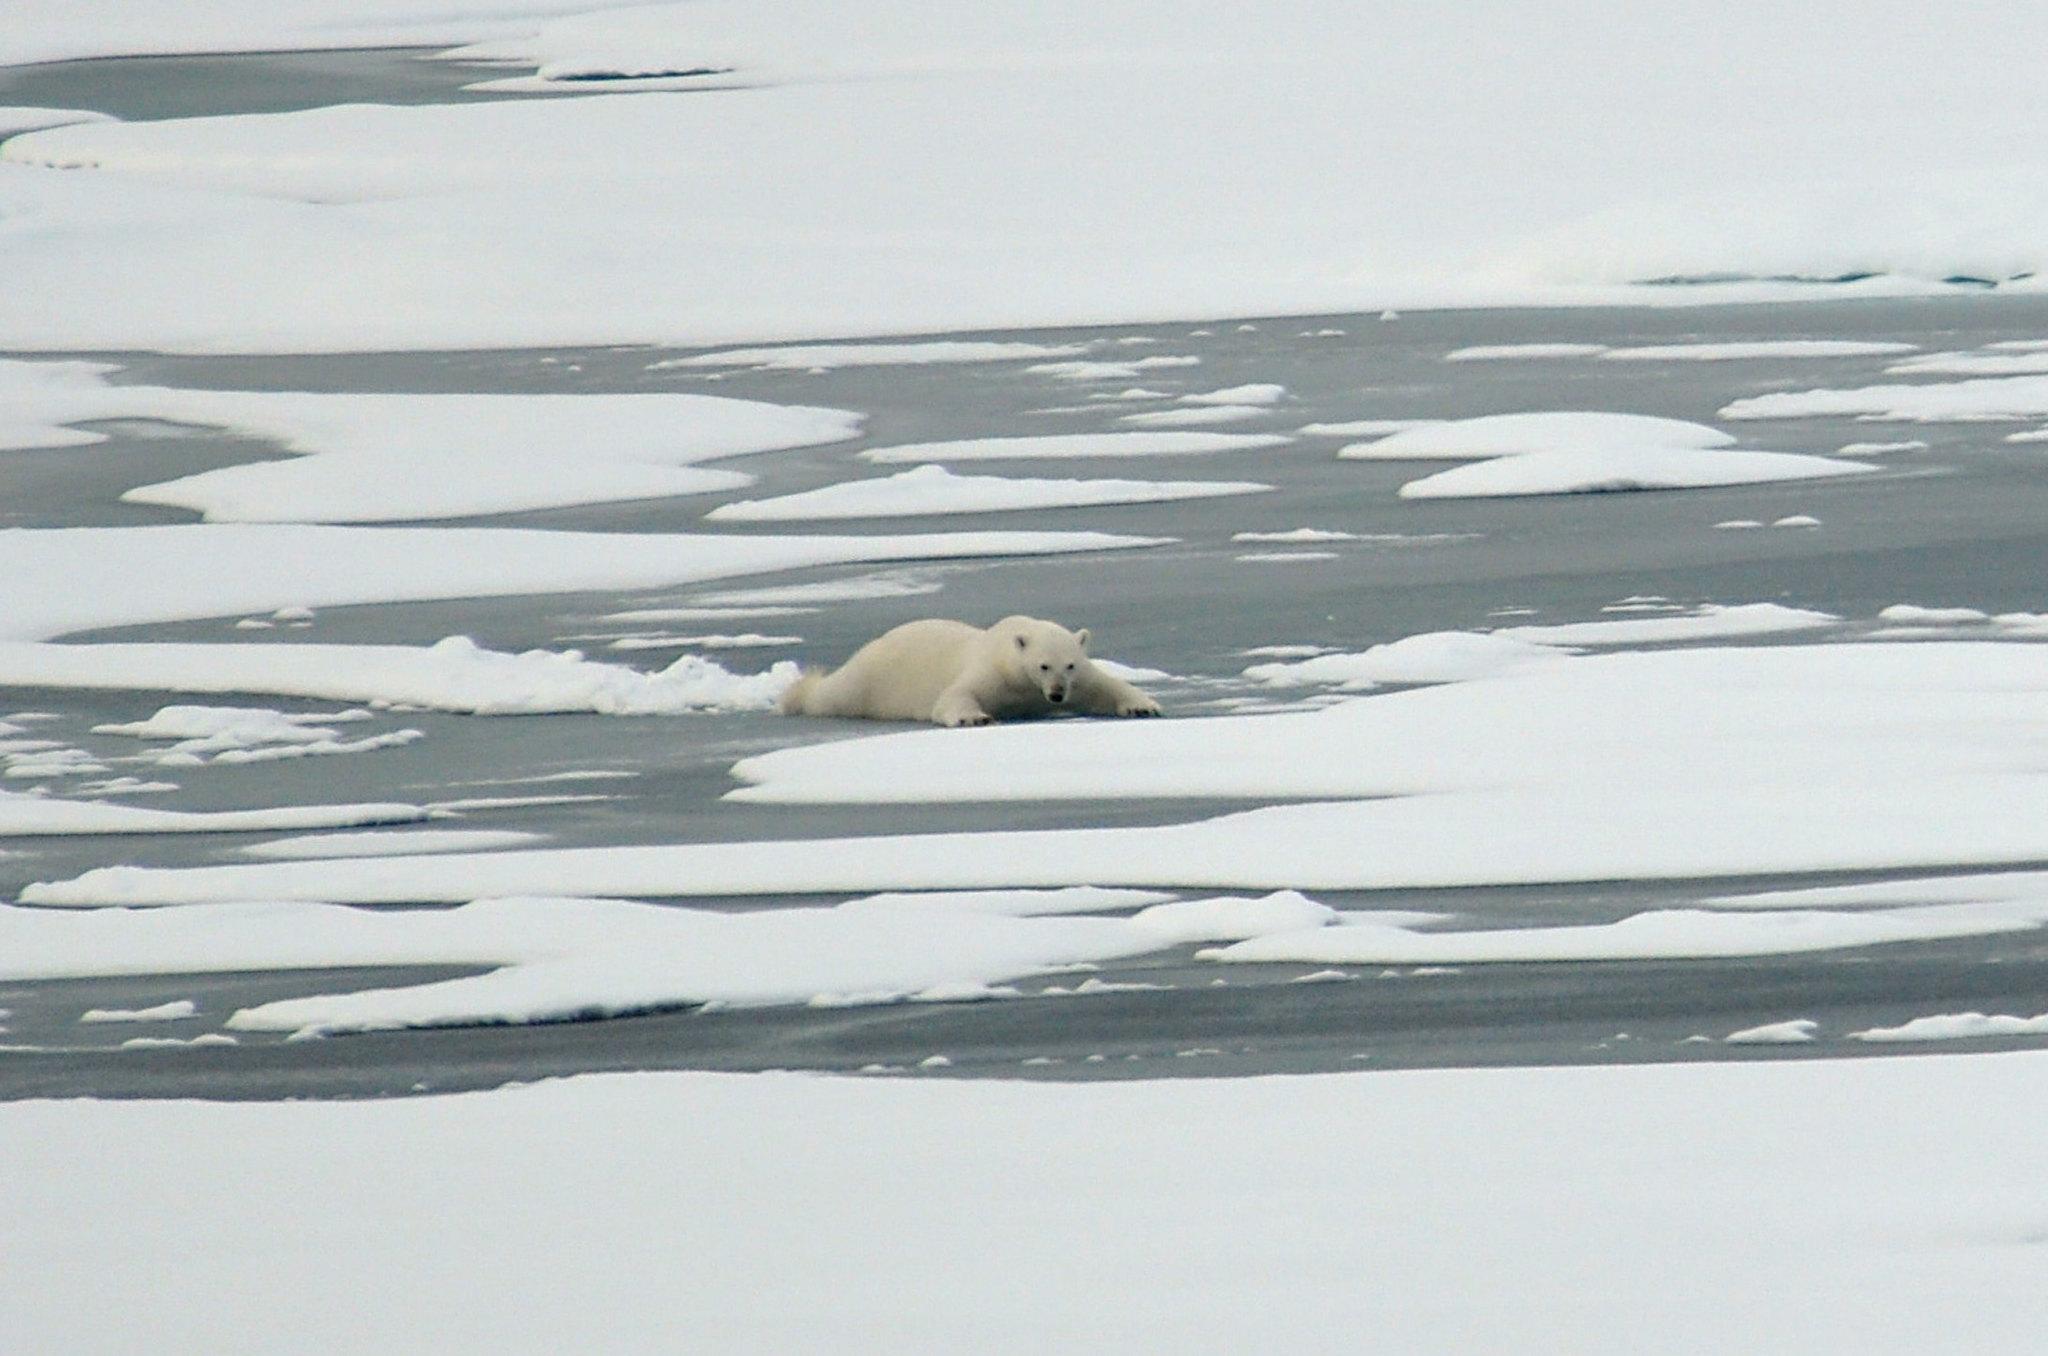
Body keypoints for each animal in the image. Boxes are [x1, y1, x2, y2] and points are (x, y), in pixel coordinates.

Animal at [782, 614, 1163, 729]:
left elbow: (1105, 686)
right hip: (867, 679)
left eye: (1068, 664)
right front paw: (975, 717)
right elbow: (955, 695)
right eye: (1043, 665)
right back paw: (798, 694)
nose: (1056, 695)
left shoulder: (1079, 680)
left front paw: (1142, 706)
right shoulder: (991, 670)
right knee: (830, 694)